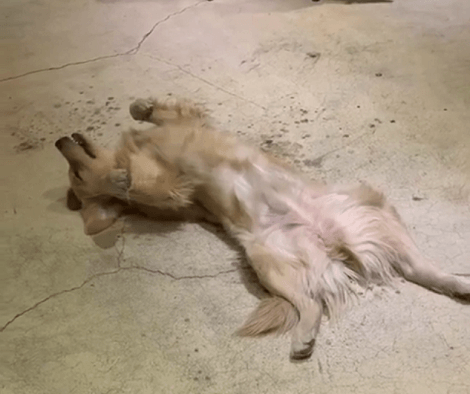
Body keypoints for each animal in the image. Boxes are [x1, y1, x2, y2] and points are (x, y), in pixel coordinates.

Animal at [56, 96, 470, 360]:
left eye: (74, 171)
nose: (60, 140)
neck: (135, 153)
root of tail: (330, 240)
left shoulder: (180, 125)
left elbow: (154, 112)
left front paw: (139, 111)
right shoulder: (173, 189)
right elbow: (138, 186)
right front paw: (119, 180)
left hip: (370, 218)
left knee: (419, 268)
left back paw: (459, 284)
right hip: (269, 261)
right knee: (311, 302)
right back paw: (304, 339)